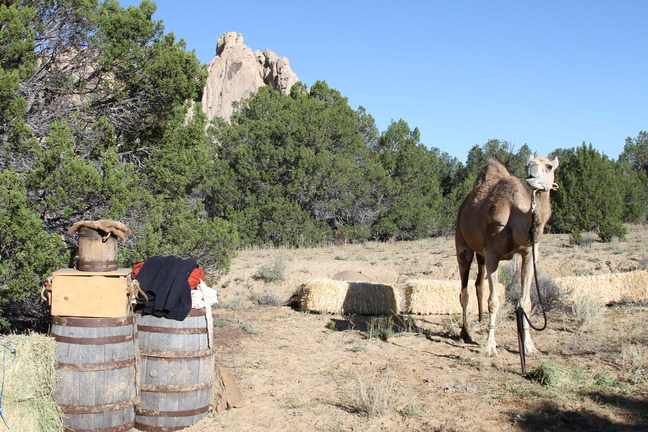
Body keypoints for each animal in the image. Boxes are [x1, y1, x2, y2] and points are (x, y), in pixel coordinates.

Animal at [455, 155, 559, 356]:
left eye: (549, 166)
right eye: (528, 164)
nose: (531, 167)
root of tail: (462, 207)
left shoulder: (529, 255)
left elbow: (526, 302)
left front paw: (528, 346)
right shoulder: (492, 254)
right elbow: (493, 301)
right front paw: (490, 346)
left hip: (480, 253)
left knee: (478, 283)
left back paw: (481, 323)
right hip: (462, 244)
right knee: (464, 290)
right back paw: (466, 333)